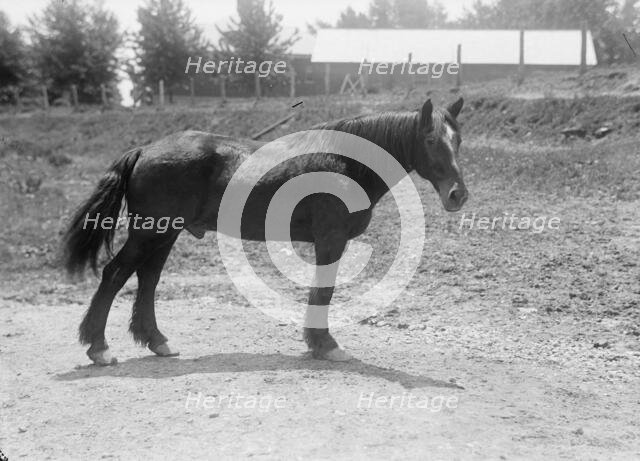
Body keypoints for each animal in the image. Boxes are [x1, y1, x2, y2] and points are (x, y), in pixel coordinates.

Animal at [62, 97, 468, 366]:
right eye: (431, 140)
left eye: (458, 139)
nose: (457, 194)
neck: (345, 162)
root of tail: (145, 149)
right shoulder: (330, 241)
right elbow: (324, 291)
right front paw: (324, 344)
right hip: (149, 233)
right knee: (115, 274)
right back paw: (99, 348)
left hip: (164, 235)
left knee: (147, 280)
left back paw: (157, 341)